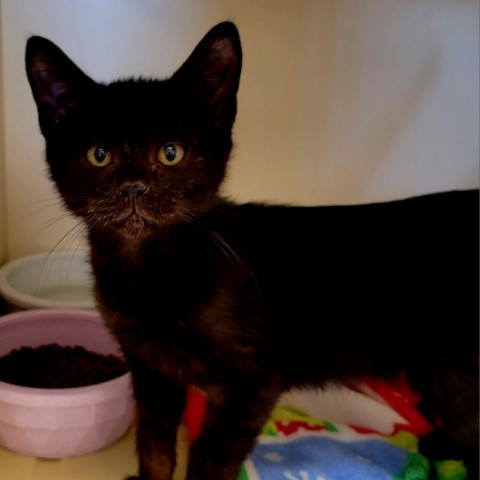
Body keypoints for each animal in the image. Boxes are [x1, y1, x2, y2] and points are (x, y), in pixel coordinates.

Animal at [27, 20, 480, 478]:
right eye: (99, 155)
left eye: (171, 153)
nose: (134, 187)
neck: (151, 270)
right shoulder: (152, 370)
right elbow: (154, 446)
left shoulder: (249, 385)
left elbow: (208, 462)